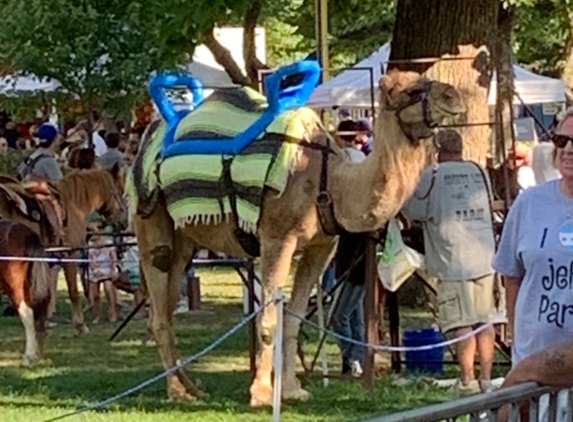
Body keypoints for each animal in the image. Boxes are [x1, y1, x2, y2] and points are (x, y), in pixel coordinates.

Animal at [0, 165, 125, 332]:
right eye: (120, 190)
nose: (123, 221)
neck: (73, 205)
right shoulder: (71, 254)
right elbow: (73, 291)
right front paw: (80, 325)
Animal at [132, 70, 466, 406]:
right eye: (410, 90)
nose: (454, 96)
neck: (331, 183)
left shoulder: (322, 246)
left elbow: (292, 319)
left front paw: (292, 389)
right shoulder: (277, 238)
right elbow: (269, 319)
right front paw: (262, 393)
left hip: (185, 240)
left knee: (167, 305)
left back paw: (191, 387)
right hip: (149, 217)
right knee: (158, 302)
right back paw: (177, 390)